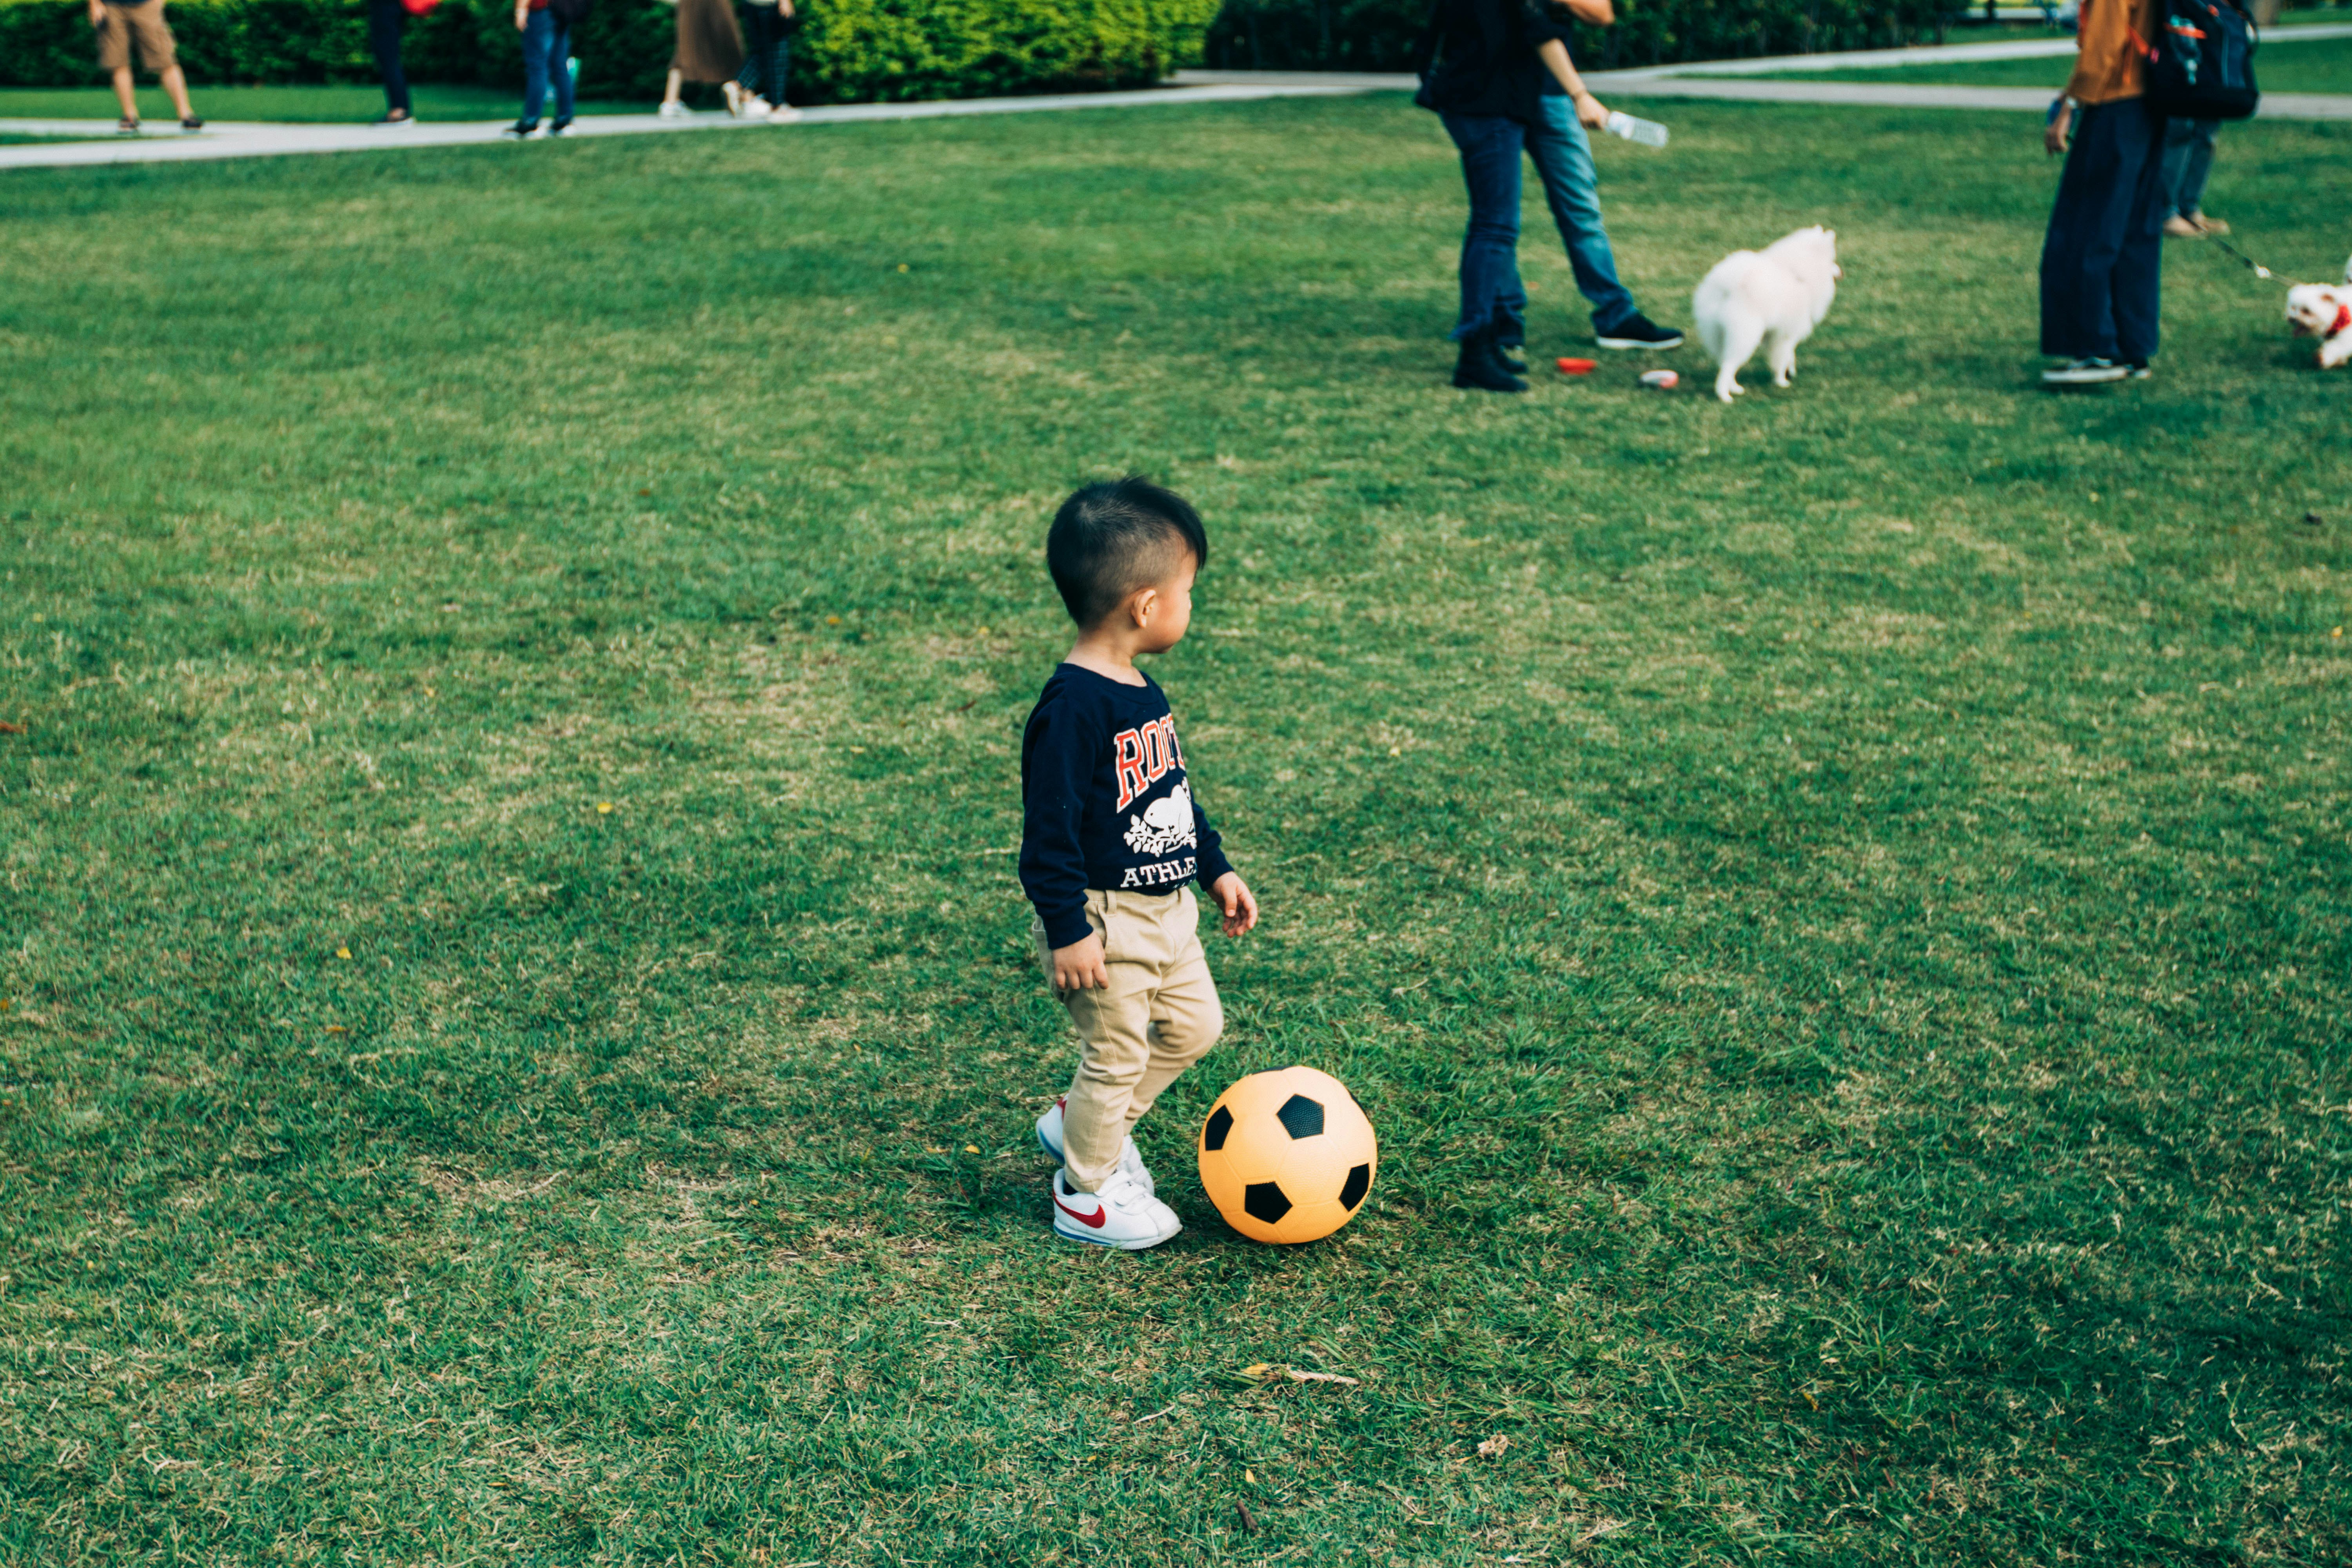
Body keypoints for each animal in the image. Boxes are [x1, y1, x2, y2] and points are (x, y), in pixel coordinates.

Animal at [1703, 225, 1844, 402]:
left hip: (1720, 336)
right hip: (1745, 336)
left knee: (1726, 363)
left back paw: (1735, 388)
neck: (1797, 273)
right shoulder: (1787, 333)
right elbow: (1783, 356)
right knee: (1728, 366)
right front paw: (1781, 381)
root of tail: (1727, 289)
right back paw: (1725, 396)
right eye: (1832, 261)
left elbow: (1789, 355)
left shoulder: (1778, 333)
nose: (1842, 273)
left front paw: (1790, 372)